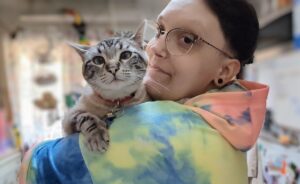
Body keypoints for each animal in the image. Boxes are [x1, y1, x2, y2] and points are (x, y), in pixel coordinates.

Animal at [62, 23, 149, 152]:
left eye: (126, 55)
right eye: (98, 60)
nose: (113, 68)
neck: (115, 102)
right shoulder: (70, 118)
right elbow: (86, 117)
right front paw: (97, 135)